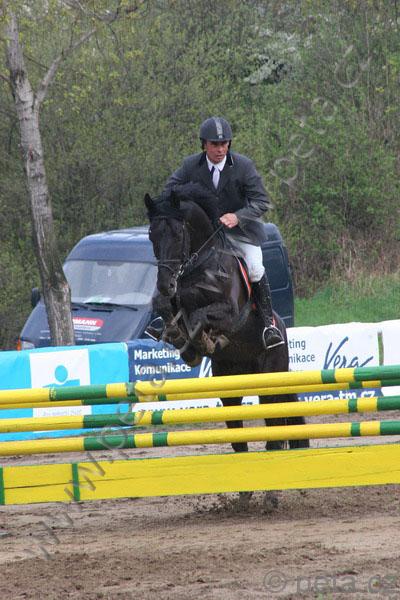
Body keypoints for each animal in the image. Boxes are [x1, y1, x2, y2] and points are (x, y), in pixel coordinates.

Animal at [144, 182, 309, 462]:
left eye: (178, 234)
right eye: (151, 236)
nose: (165, 284)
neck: (198, 265)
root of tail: (283, 330)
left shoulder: (230, 313)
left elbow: (199, 317)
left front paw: (203, 342)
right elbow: (164, 307)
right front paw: (185, 344)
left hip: (269, 379)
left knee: (274, 433)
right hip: (228, 383)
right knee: (239, 437)